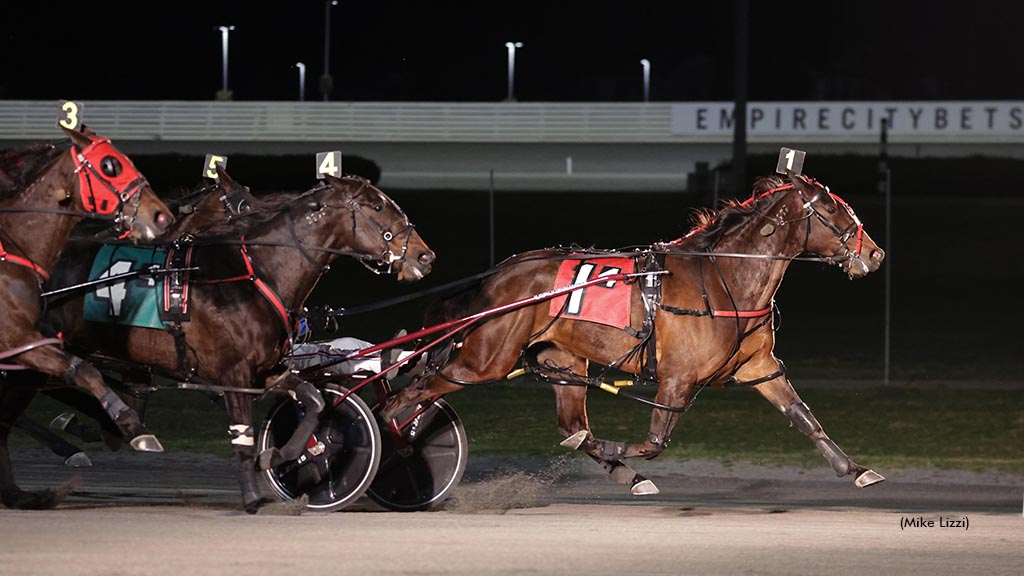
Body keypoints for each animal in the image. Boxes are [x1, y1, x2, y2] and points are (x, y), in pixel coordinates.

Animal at [0, 126, 174, 506]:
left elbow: (82, 371)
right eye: (109, 165)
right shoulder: (16, 338)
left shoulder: (25, 347)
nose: (162, 216)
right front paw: (129, 424)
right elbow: (84, 371)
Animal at [19, 167, 434, 510]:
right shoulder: (231, 373)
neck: (254, 274)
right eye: (377, 206)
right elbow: (242, 435)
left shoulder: (264, 369)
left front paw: (286, 455)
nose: (424, 255)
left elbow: (314, 401)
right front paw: (252, 496)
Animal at [385, 171, 888, 494]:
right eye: (833, 209)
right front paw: (621, 451)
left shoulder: (758, 366)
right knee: (410, 393)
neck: (725, 277)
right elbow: (654, 442)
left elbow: (804, 417)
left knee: (572, 426)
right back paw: (390, 441)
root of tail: (497, 276)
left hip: (563, 361)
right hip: (484, 359)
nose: (876, 254)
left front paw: (855, 468)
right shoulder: (677, 377)